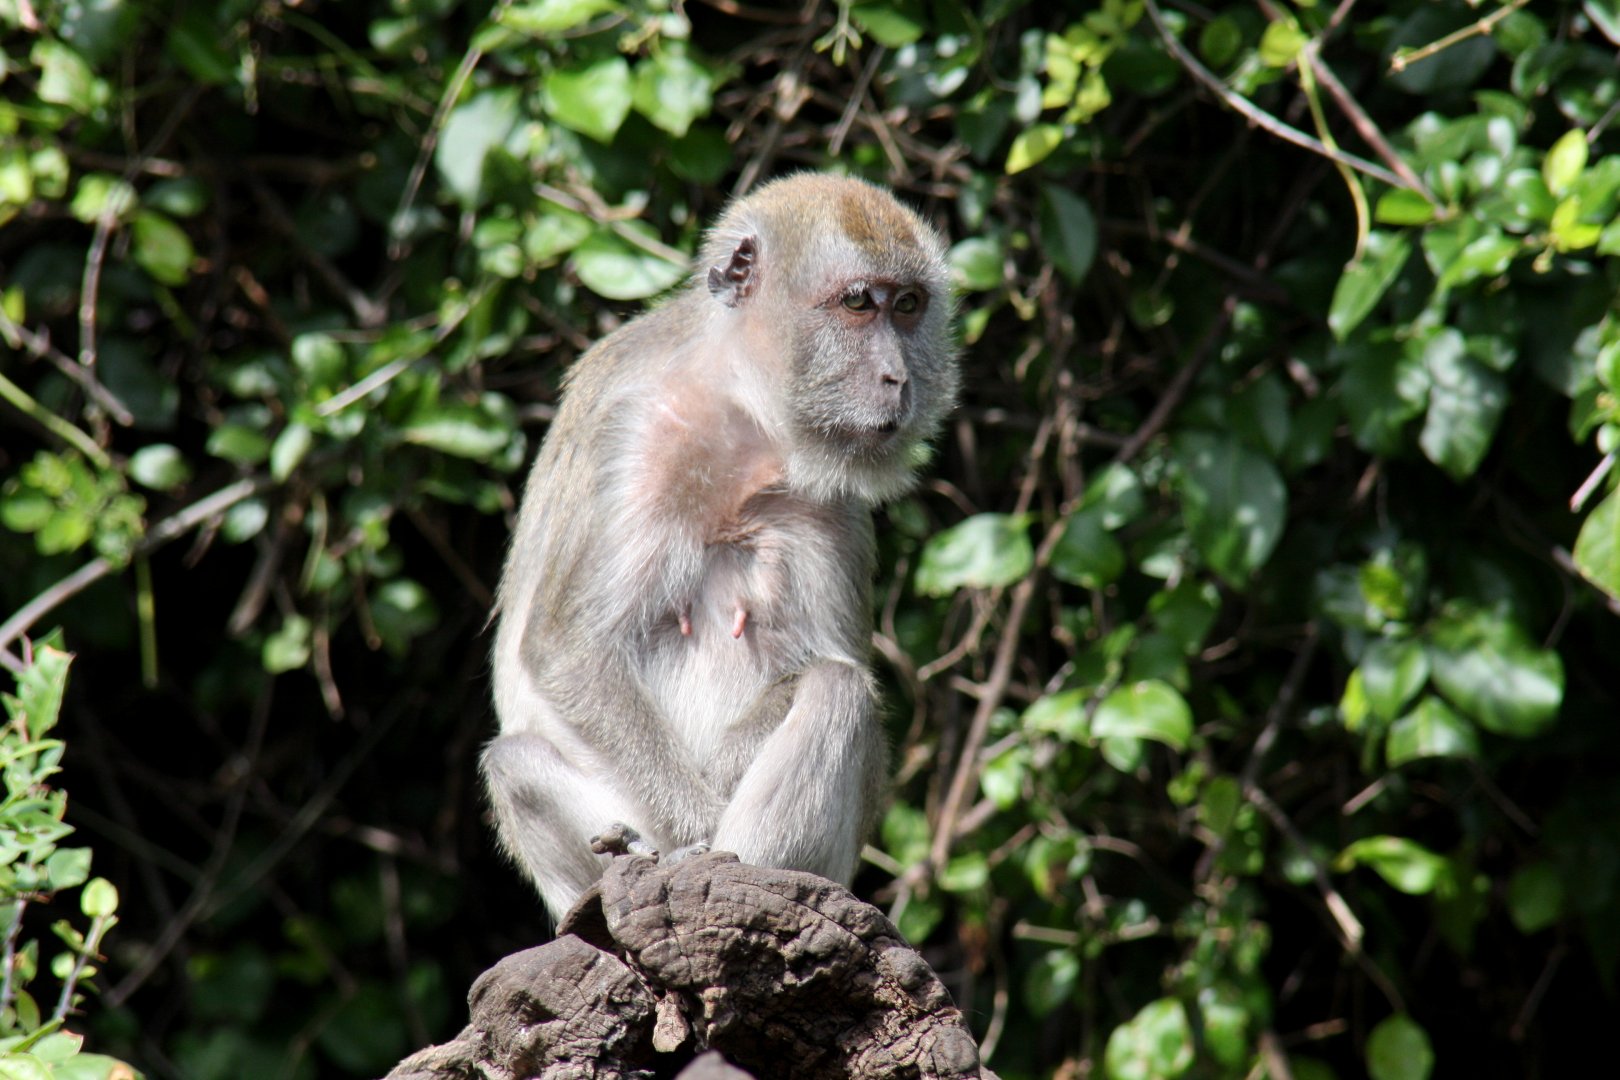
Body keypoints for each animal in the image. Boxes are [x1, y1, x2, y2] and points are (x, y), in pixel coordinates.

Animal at [483, 173, 959, 919]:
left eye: (908, 307)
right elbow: (569, 648)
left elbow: (824, 658)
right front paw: (695, 833)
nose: (897, 379)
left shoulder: (830, 497)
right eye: (859, 304)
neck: (739, 406)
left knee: (836, 689)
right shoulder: (636, 437)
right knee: (515, 762)